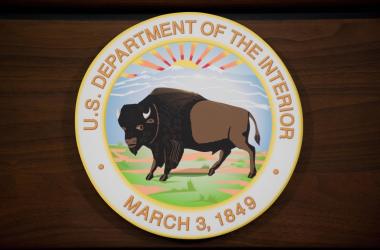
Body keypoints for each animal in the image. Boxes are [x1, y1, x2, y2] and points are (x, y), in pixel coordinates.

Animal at [118, 88, 262, 182]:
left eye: (140, 126)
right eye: (124, 127)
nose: (130, 141)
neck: (156, 115)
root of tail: (246, 112)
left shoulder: (171, 145)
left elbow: (168, 161)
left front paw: (163, 177)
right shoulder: (158, 146)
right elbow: (155, 161)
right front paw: (149, 176)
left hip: (238, 140)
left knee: (251, 149)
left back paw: (250, 174)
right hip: (227, 142)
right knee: (225, 154)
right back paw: (211, 171)